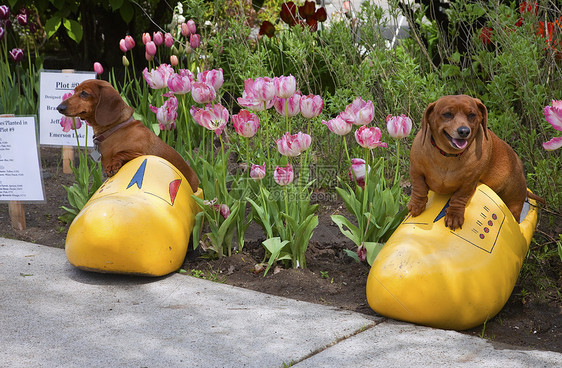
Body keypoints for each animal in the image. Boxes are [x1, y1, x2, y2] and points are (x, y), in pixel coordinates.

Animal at [55, 79, 198, 191]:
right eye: (74, 91)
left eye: (84, 93)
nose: (59, 107)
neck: (115, 130)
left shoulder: (139, 153)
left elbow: (121, 153)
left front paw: (113, 165)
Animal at [406, 93, 540, 229]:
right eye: (447, 114)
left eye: (471, 115)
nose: (464, 131)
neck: (448, 156)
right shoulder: (416, 171)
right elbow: (419, 188)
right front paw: (416, 205)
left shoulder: (469, 183)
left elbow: (459, 197)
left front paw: (454, 215)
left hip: (514, 202)